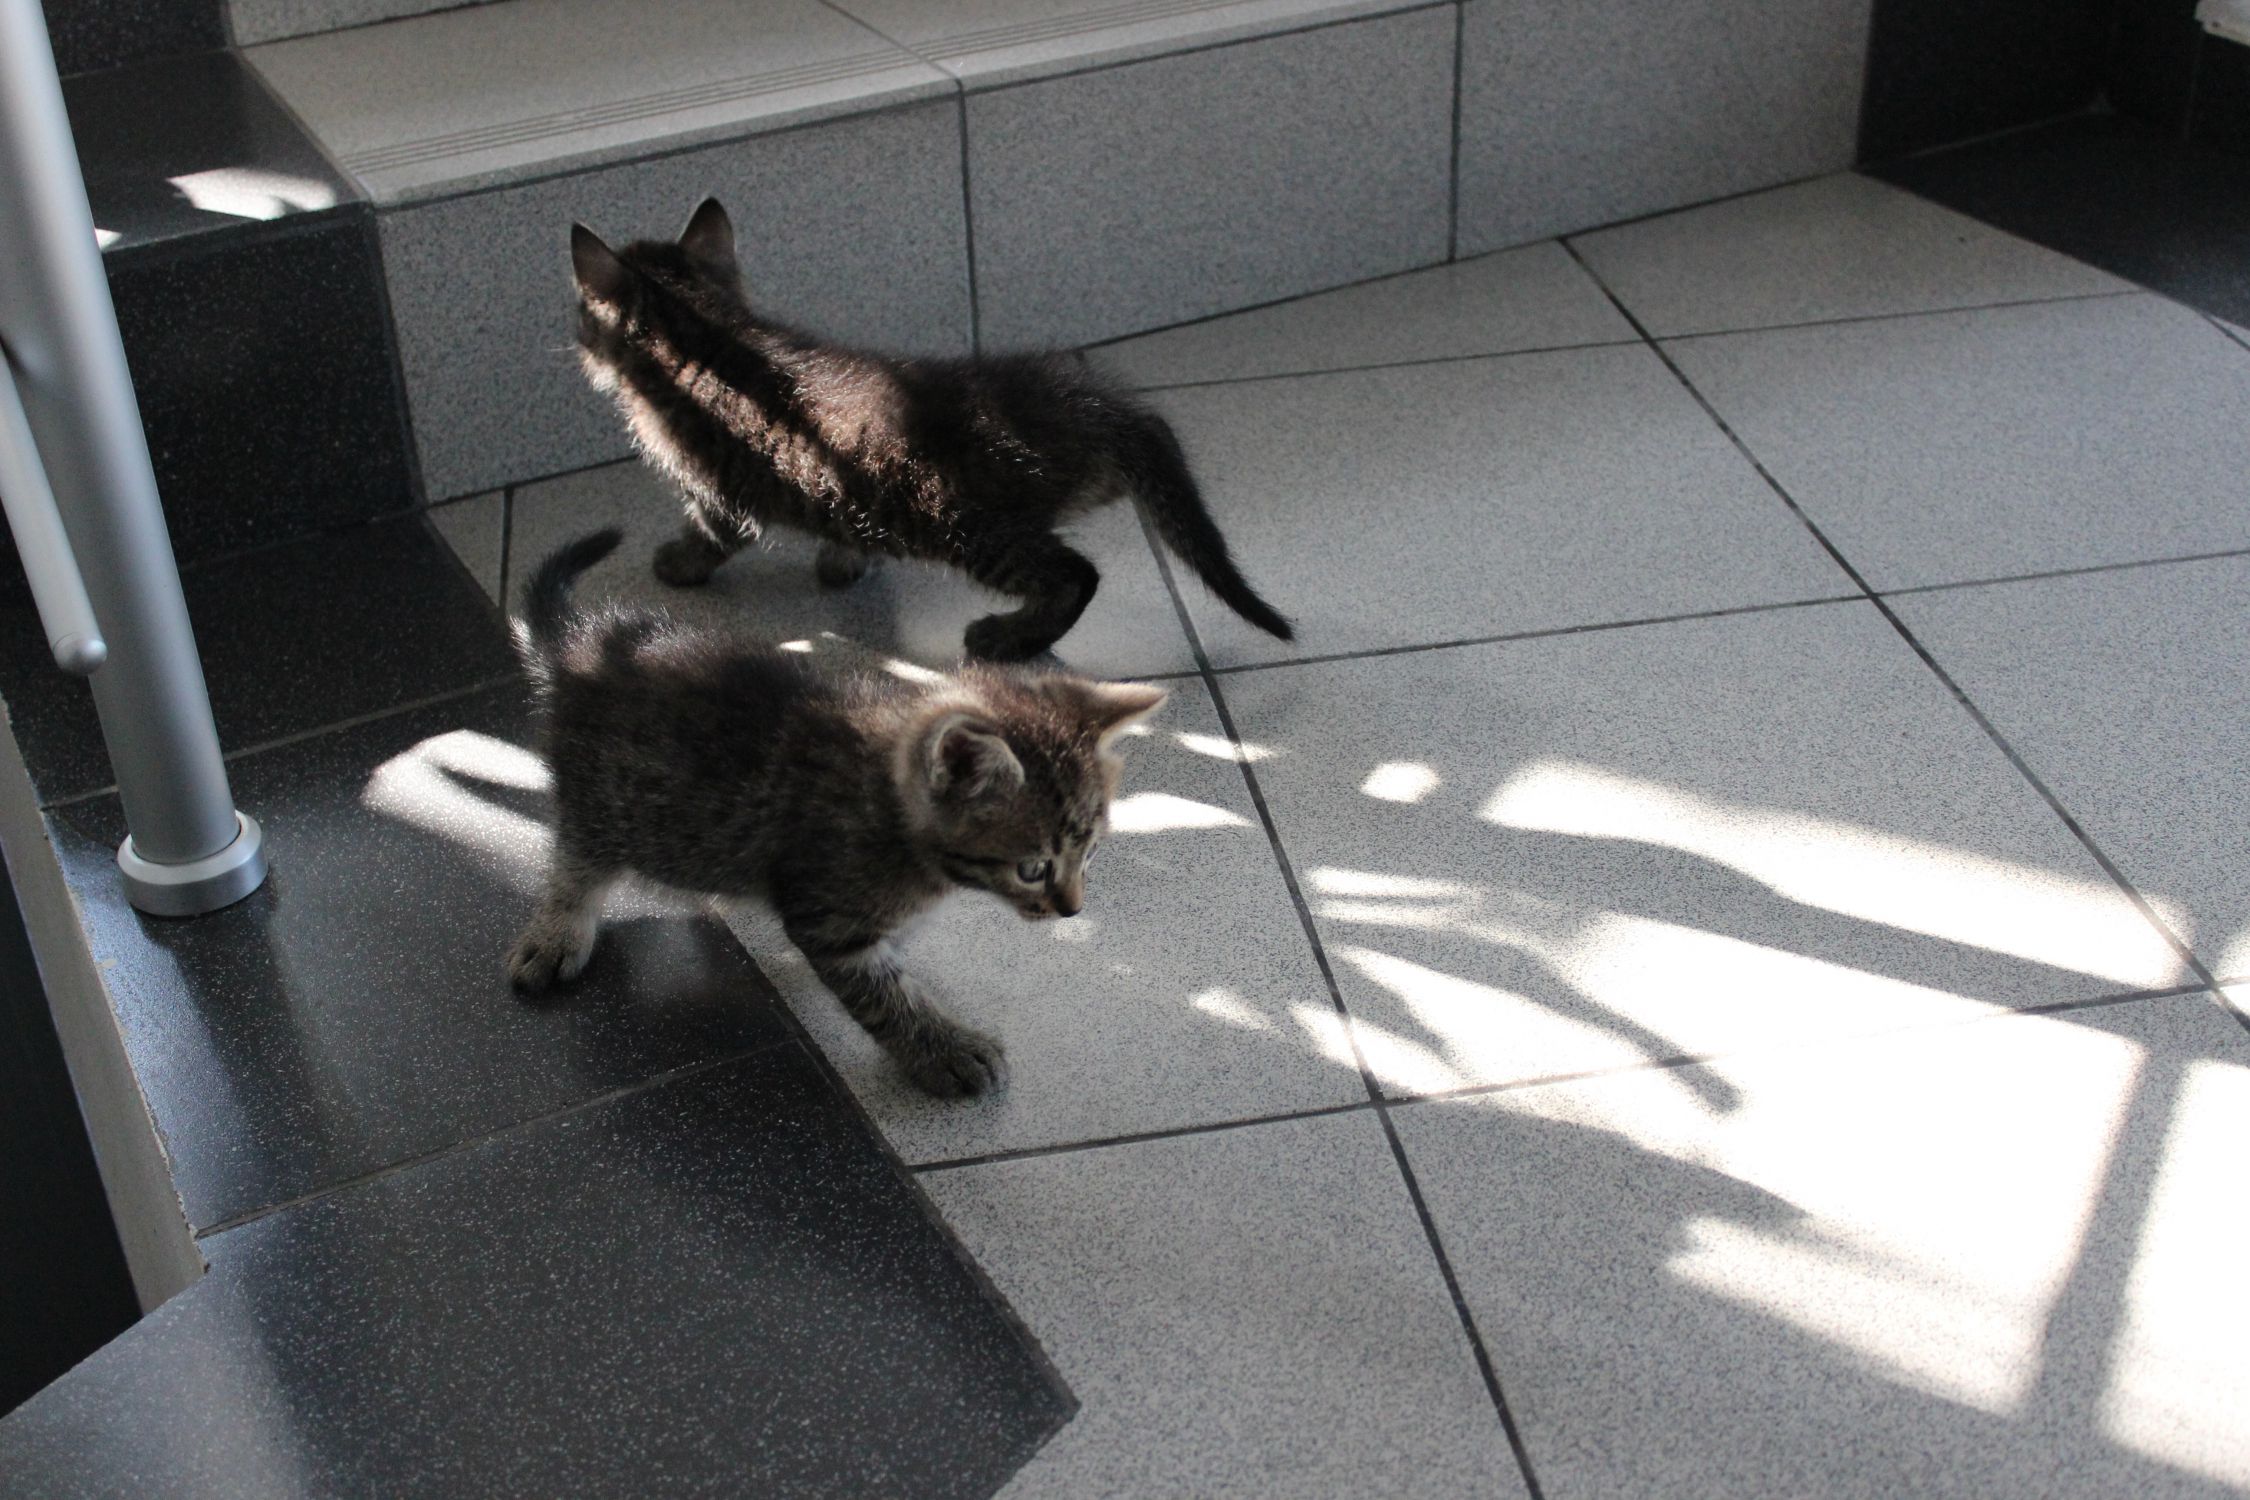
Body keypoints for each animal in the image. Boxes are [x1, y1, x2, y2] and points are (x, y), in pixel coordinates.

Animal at [506, 528, 1168, 1098]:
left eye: (1091, 851)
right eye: (1033, 868)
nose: (1072, 910)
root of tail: (581, 652)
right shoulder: (828, 919)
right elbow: (886, 999)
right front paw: (945, 1051)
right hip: (612, 806)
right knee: (575, 857)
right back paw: (558, 931)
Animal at [568, 197, 1293, 663]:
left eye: (580, 315)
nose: (575, 337)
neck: (708, 331)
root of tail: (1101, 405)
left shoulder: (719, 490)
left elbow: (710, 533)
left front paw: (676, 564)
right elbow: (842, 534)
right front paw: (842, 564)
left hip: (970, 525)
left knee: (1075, 574)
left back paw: (1008, 638)